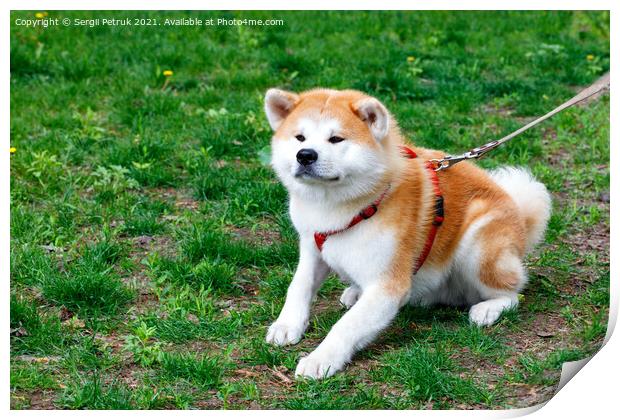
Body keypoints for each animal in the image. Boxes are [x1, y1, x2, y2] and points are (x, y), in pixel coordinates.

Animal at [264, 87, 548, 378]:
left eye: (336, 139)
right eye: (300, 137)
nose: (305, 155)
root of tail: (521, 220)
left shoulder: (390, 285)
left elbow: (346, 326)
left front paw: (321, 358)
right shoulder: (313, 248)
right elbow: (298, 286)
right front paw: (287, 325)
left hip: (477, 246)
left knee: (512, 293)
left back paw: (488, 309)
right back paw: (357, 291)